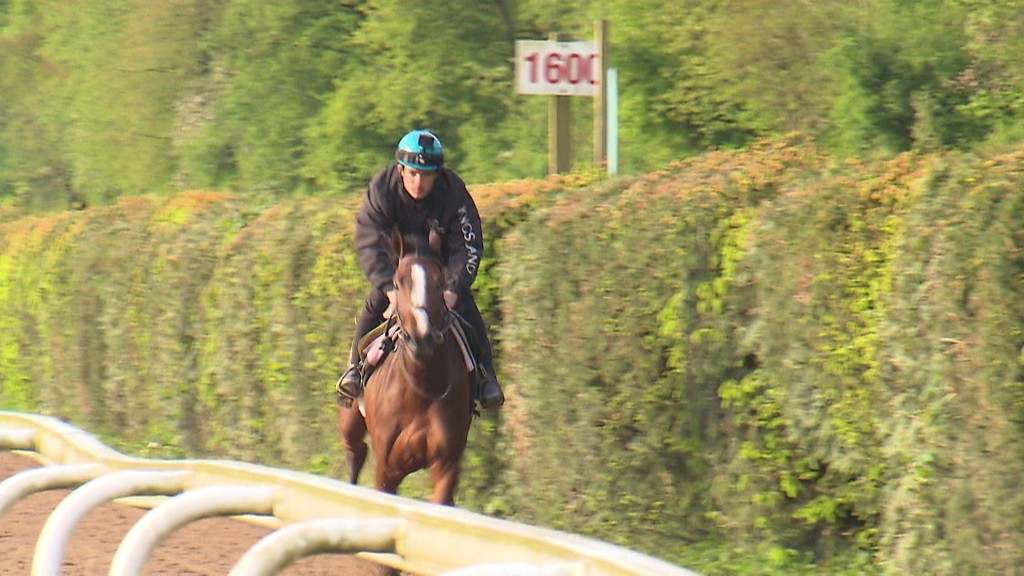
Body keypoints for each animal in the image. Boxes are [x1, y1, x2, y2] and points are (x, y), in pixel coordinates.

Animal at [339, 226, 475, 504]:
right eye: (397, 282)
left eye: (440, 281)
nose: (421, 336)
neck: (422, 389)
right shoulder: (387, 468)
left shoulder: (446, 465)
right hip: (350, 423)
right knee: (356, 451)